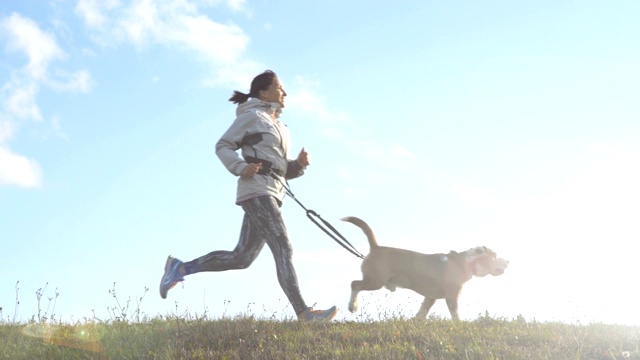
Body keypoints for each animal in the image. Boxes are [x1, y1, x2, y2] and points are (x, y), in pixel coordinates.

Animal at [342, 215, 508, 320]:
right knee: (354, 284)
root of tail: (376, 247)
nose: (508, 261)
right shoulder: (452, 296)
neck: (464, 262)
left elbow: (421, 313)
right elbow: (455, 316)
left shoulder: (430, 298)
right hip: (375, 280)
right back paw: (352, 305)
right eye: (494, 256)